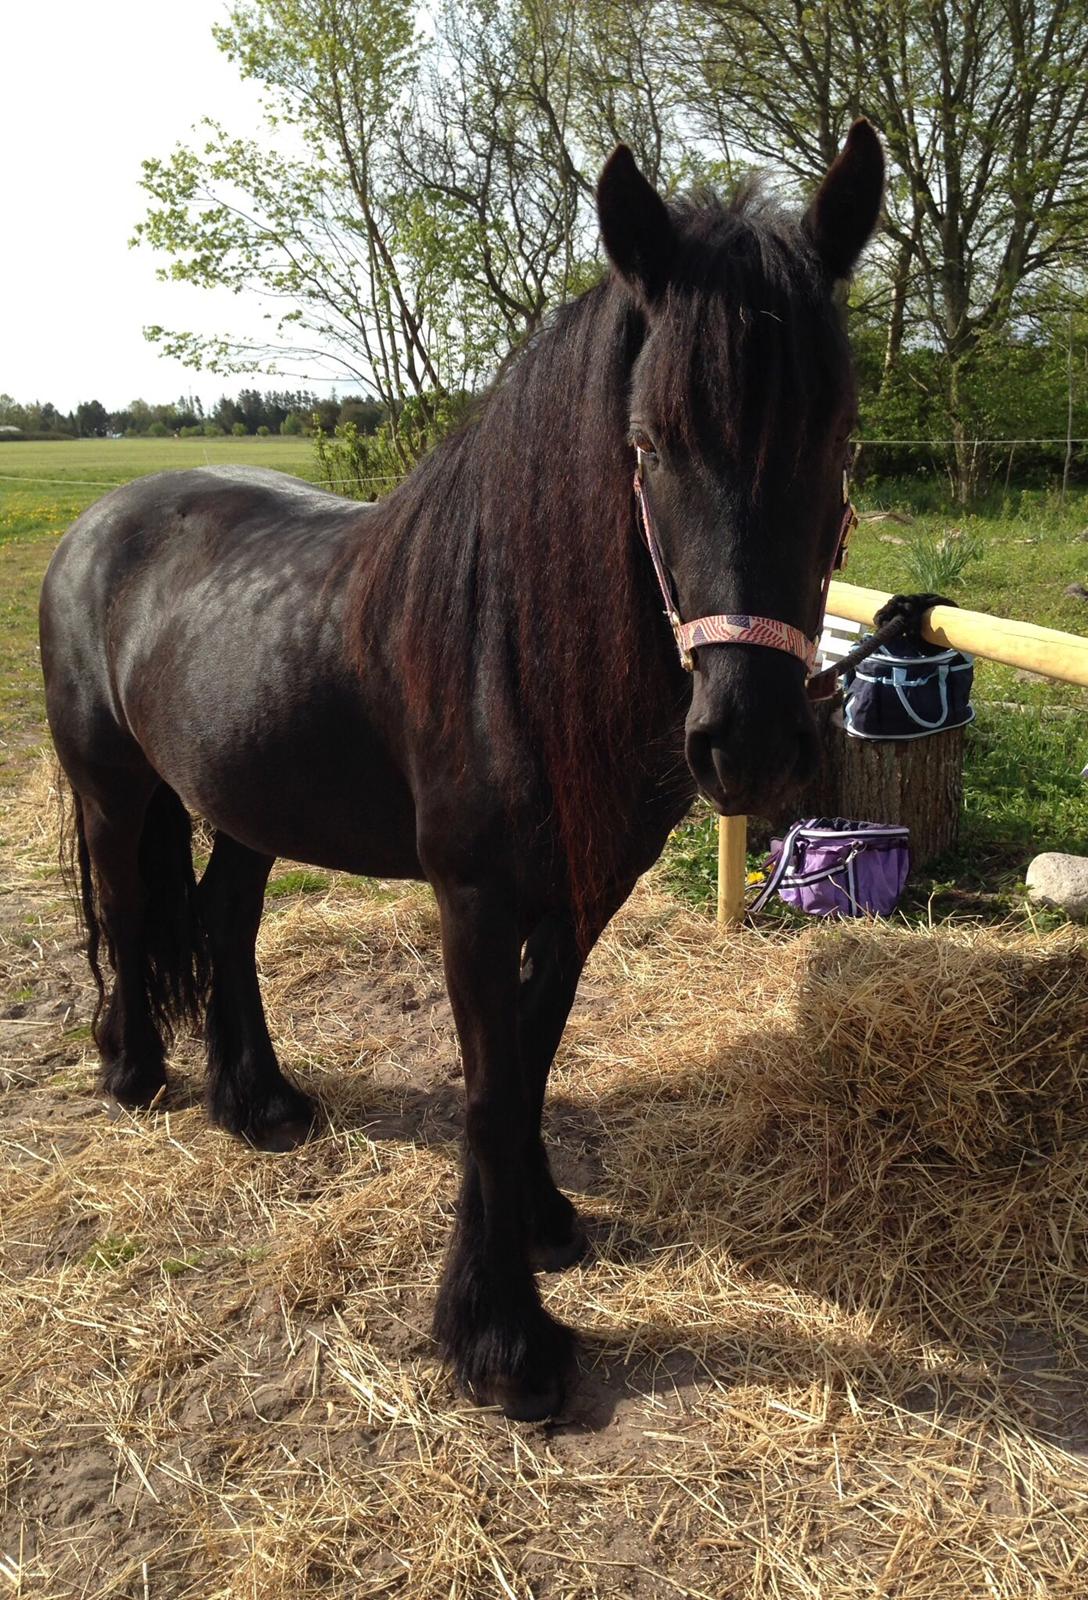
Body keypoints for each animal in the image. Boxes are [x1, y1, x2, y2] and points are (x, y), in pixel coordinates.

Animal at [40, 121, 884, 1420]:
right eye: (646, 445)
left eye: (836, 440)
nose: (747, 743)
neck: (515, 650)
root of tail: (98, 522)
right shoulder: (475, 901)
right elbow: (487, 1090)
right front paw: (498, 1337)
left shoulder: (582, 896)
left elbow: (529, 1060)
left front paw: (541, 1224)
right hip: (112, 786)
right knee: (132, 910)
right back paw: (134, 1071)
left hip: (249, 802)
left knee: (225, 921)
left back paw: (259, 1101)